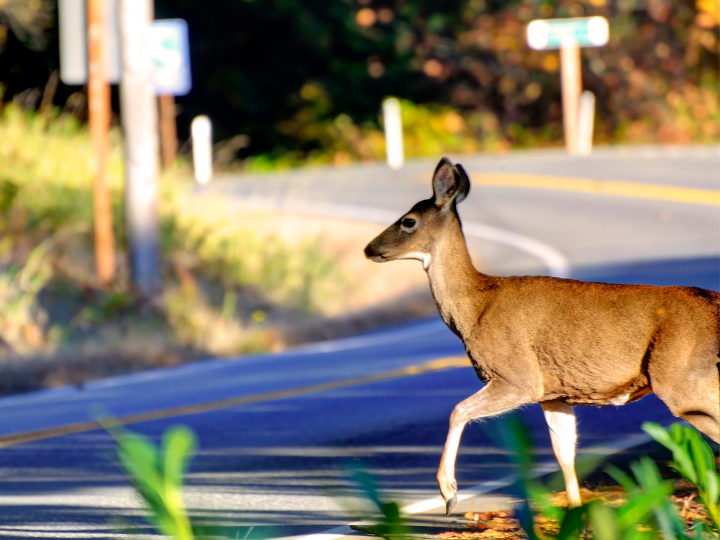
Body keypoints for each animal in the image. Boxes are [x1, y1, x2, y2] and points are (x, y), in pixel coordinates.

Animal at [364, 157, 720, 515]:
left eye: (408, 221)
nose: (369, 248)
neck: (475, 307)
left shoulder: (518, 375)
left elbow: (458, 410)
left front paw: (449, 492)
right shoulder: (555, 393)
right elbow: (564, 452)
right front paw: (575, 513)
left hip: (682, 380)